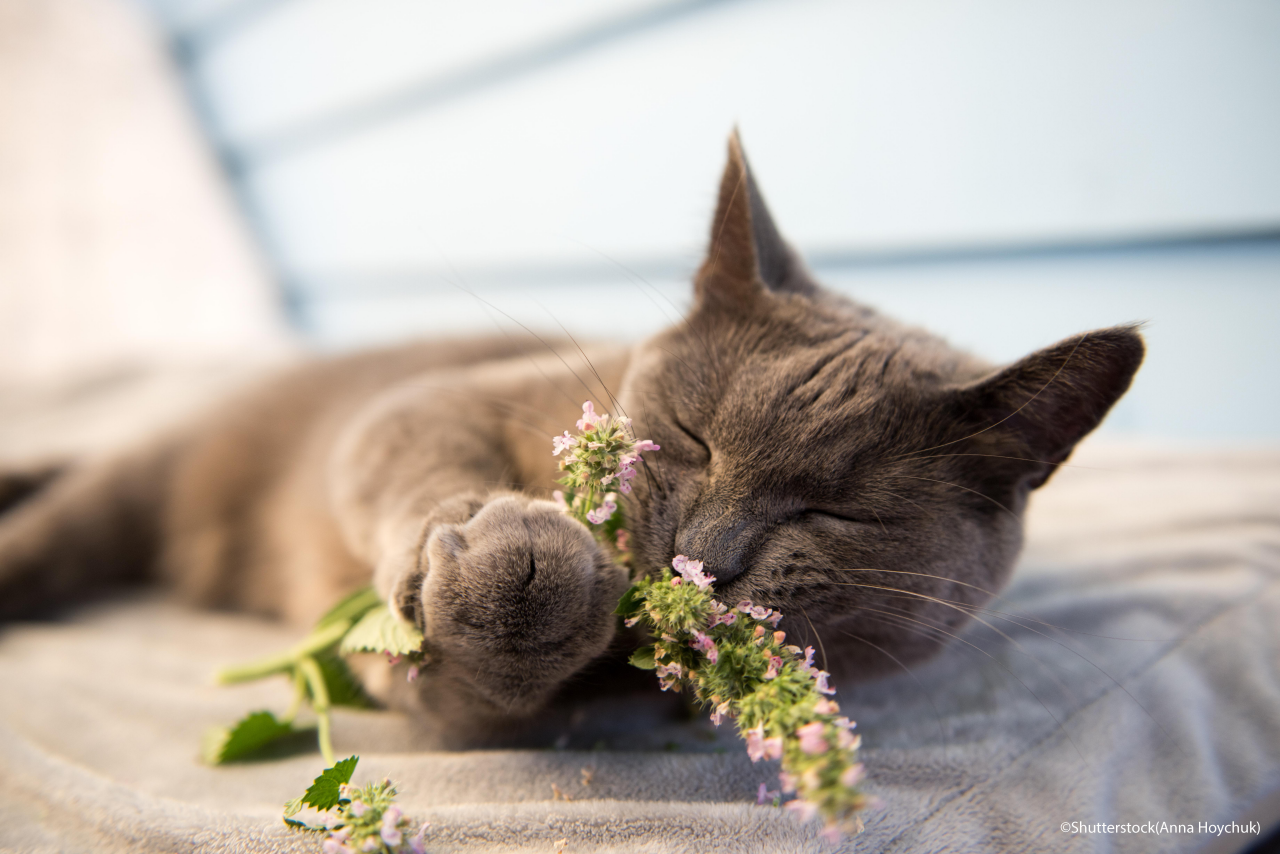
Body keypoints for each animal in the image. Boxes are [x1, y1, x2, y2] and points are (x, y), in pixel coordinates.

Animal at [0, 136, 1141, 742]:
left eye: (836, 510)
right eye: (691, 436)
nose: (704, 558)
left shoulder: (451, 695)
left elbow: (470, 686)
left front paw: (529, 593)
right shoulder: (421, 406)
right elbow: (416, 466)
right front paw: (512, 555)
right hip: (149, 474)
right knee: (61, 517)